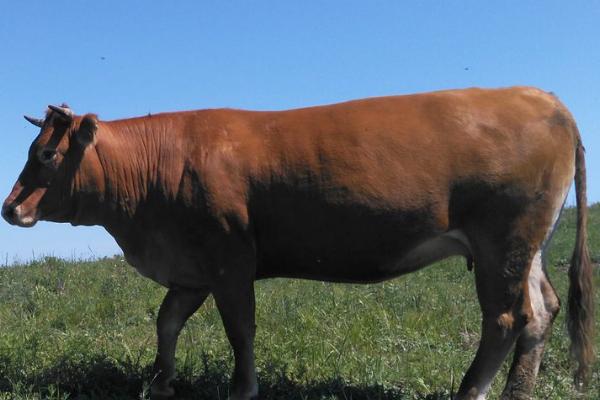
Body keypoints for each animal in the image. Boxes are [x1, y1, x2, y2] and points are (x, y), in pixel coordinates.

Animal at [2, 87, 592, 400]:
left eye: (48, 155)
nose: (10, 208)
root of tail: (543, 97)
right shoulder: (192, 267)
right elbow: (167, 321)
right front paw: (161, 381)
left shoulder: (229, 258)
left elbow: (240, 329)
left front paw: (243, 388)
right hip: (528, 247)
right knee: (541, 311)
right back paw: (517, 392)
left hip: (502, 242)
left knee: (506, 319)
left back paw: (470, 391)